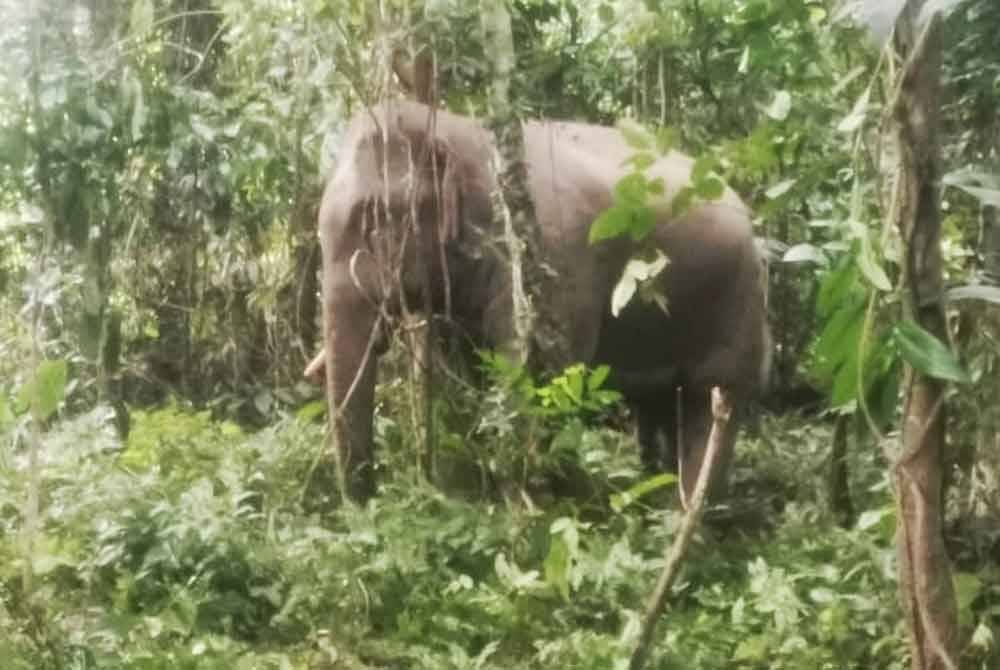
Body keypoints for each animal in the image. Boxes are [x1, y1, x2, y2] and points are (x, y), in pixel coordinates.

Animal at [316, 101, 768, 504]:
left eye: (372, 221)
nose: (366, 504)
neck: (460, 130)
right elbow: (471, 368)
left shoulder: (556, 260)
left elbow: (544, 368)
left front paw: (533, 502)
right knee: (657, 404)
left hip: (738, 301)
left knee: (711, 402)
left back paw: (685, 516)